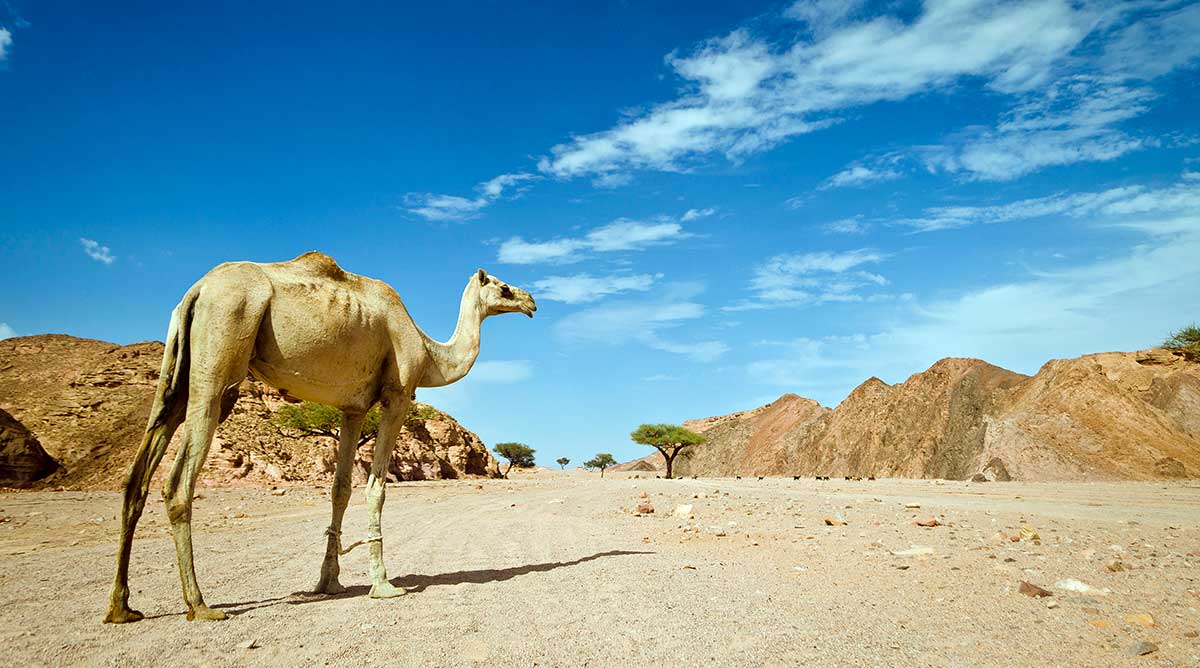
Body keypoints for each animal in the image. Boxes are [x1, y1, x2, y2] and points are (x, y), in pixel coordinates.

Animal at [103, 251, 536, 624]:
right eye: (503, 287)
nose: (531, 301)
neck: (429, 352)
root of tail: (196, 290)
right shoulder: (397, 394)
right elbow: (376, 488)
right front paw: (383, 584)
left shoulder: (352, 408)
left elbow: (340, 489)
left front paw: (329, 582)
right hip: (222, 348)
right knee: (178, 481)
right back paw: (200, 604)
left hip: (176, 373)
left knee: (136, 479)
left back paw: (121, 608)